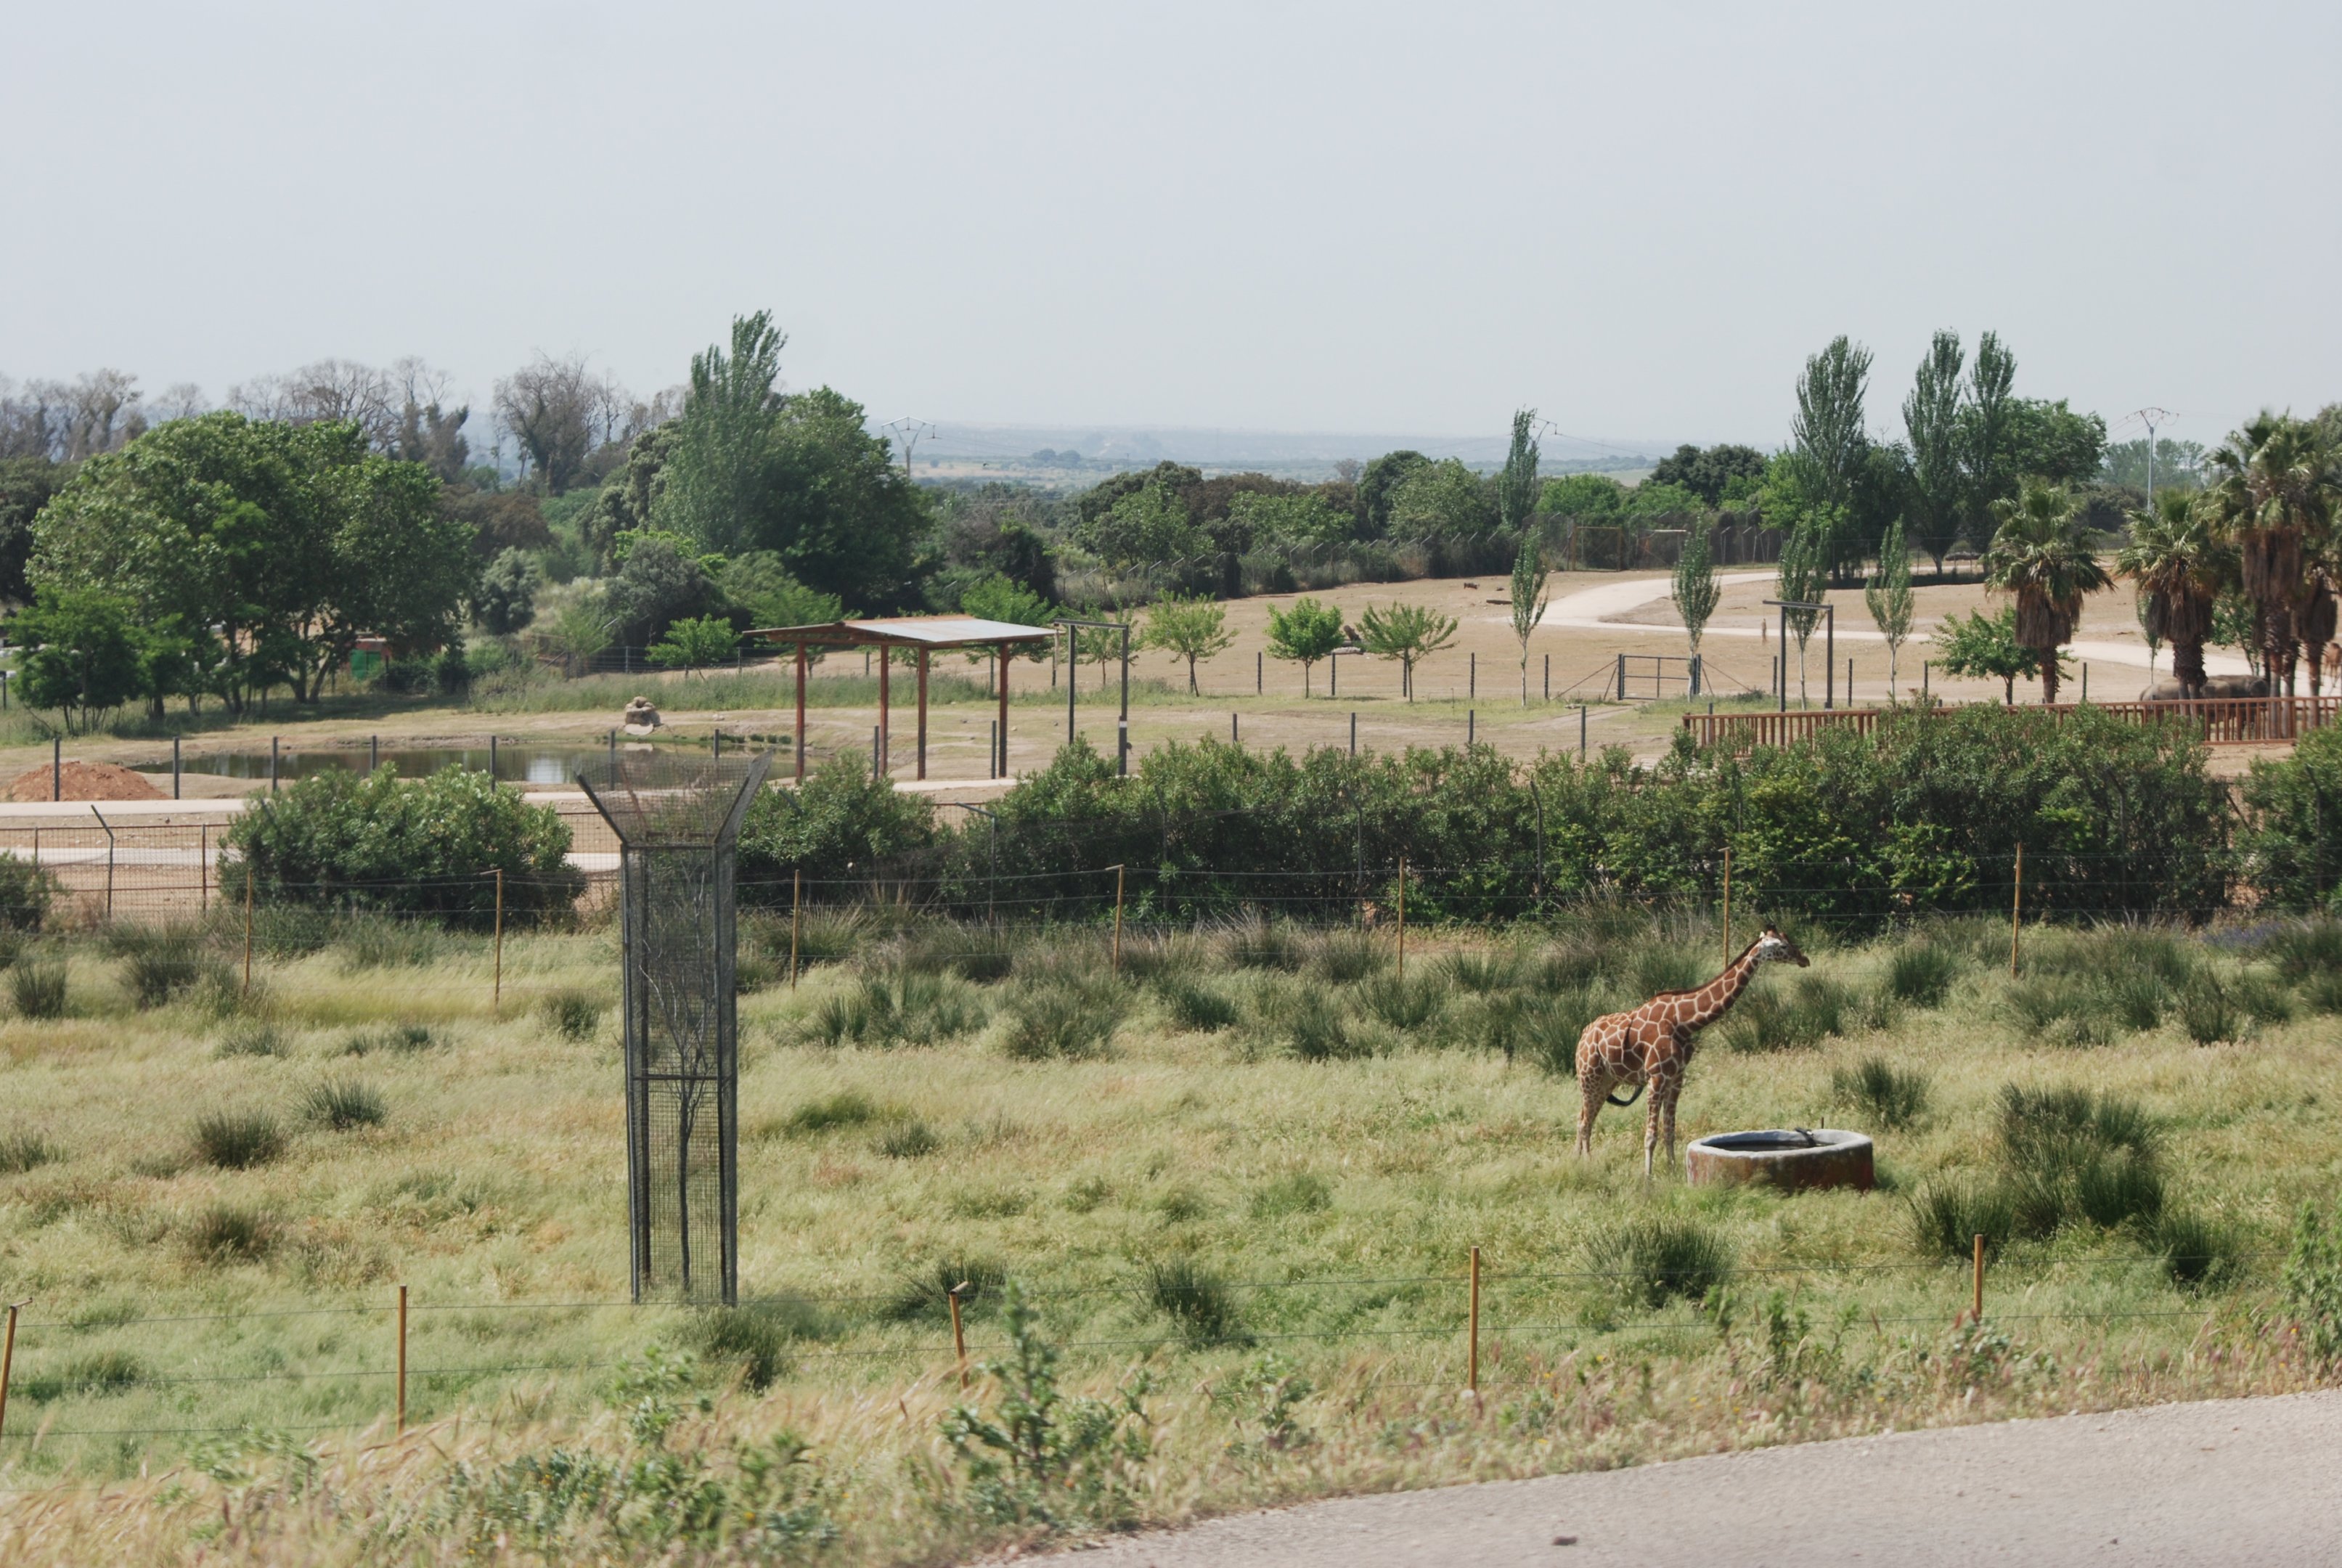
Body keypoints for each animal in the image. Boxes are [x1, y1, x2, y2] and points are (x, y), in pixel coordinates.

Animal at [1574, 926, 1810, 1180]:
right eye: (1783, 946)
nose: (1804, 959)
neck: (1684, 1022)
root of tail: (1583, 1036)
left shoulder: (1676, 1077)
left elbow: (1670, 1130)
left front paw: (1673, 1172)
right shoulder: (1656, 1076)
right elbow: (1651, 1135)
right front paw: (1648, 1178)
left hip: (1607, 1080)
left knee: (1583, 1118)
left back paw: (1579, 1161)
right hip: (1590, 1076)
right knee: (1585, 1122)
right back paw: (1586, 1165)